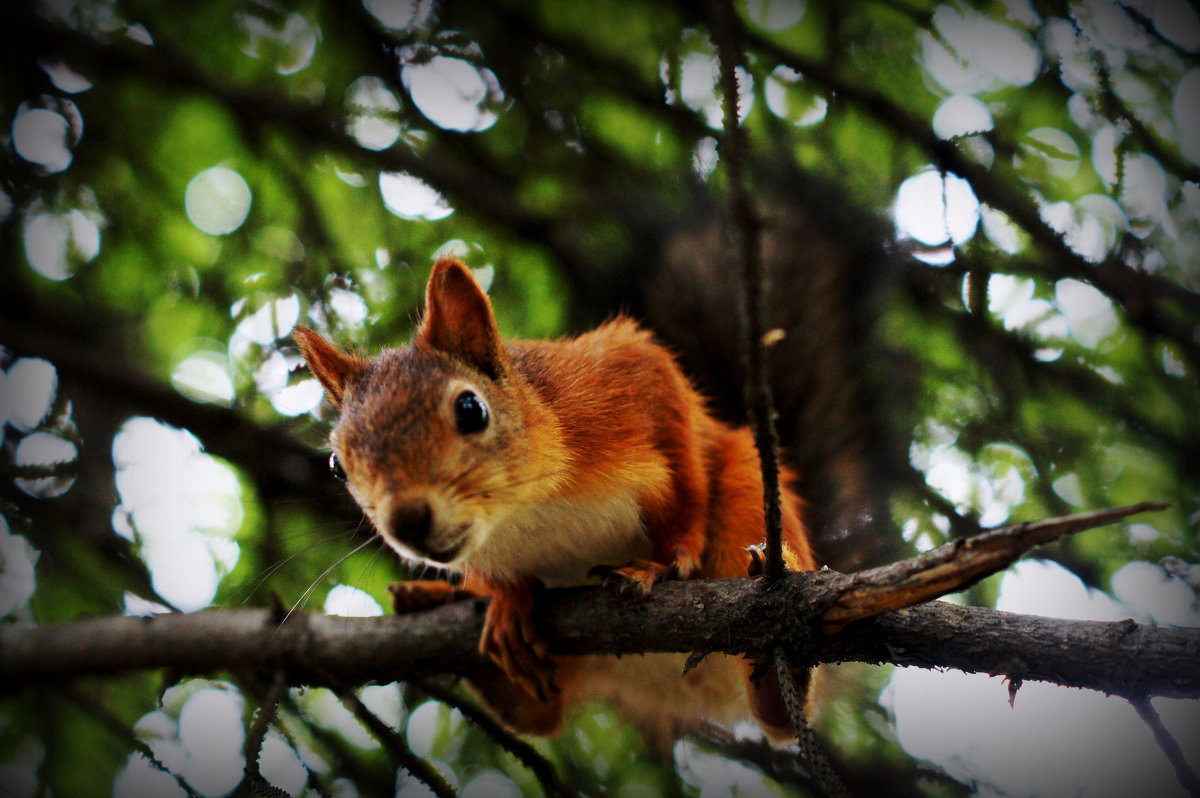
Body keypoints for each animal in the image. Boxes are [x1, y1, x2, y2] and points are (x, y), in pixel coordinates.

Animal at [292, 255, 816, 748]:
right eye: (337, 464)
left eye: (471, 409)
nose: (407, 522)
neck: (522, 514)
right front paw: (508, 601)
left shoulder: (631, 378)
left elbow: (684, 480)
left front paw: (662, 563)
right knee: (537, 716)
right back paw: (437, 604)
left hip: (746, 488)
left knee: (778, 715)